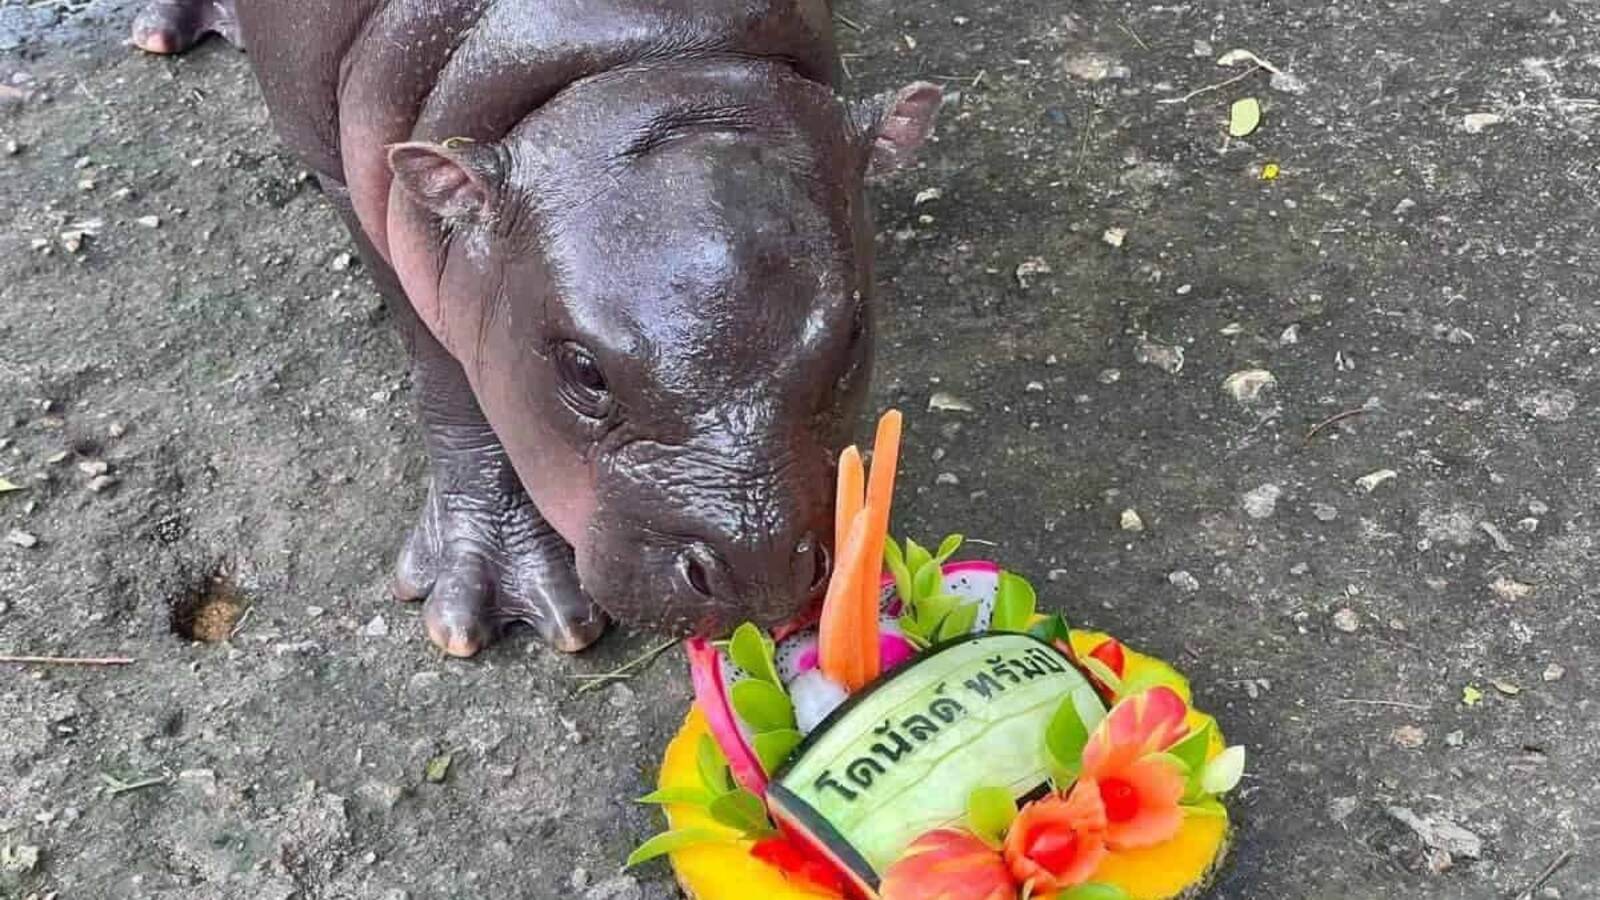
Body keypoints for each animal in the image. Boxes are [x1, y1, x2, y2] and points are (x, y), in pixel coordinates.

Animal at [130, 0, 942, 657]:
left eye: (852, 334)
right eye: (583, 370)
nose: (760, 567)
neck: (647, 53)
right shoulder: (357, 183)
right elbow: (448, 369)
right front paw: (480, 606)